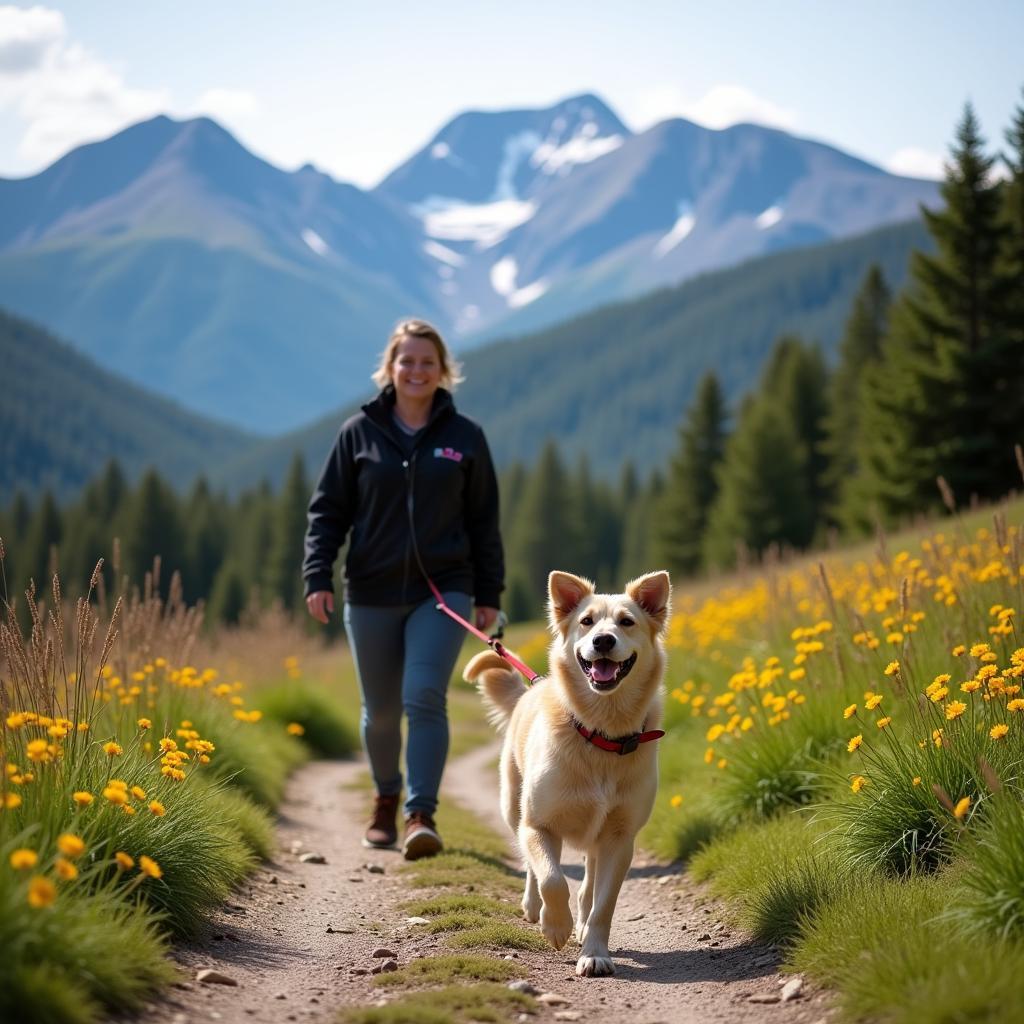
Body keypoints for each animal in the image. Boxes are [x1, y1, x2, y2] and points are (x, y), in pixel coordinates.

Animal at [464, 569, 671, 974]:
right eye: (586, 621)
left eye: (627, 622)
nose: (603, 640)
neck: (600, 732)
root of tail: (530, 690)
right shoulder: (539, 824)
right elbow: (552, 879)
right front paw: (555, 925)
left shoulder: (620, 838)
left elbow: (603, 904)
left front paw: (594, 952)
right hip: (513, 807)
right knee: (533, 866)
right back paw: (534, 908)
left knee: (589, 881)